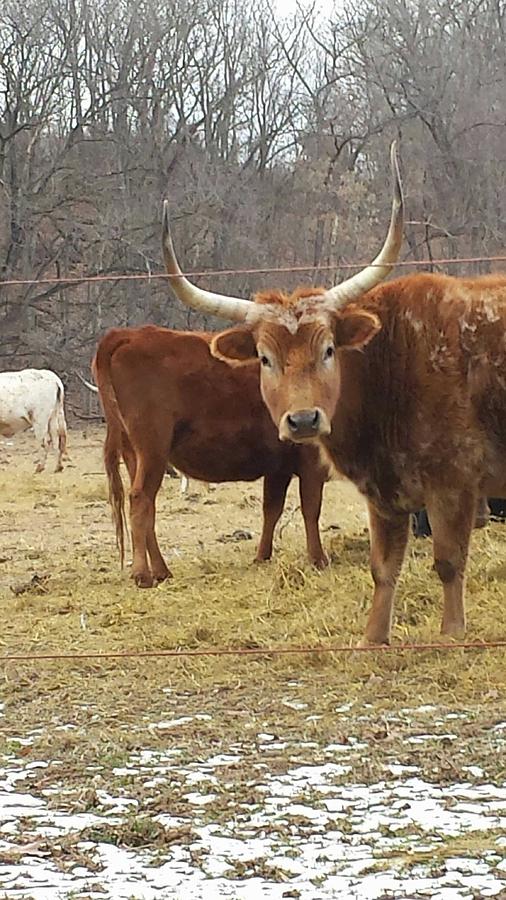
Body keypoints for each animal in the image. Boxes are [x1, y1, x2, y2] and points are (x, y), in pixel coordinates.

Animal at [92, 326, 328, 588]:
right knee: (140, 499)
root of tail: (128, 333)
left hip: (134, 453)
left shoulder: (279, 467)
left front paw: (262, 556)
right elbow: (311, 509)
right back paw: (142, 574)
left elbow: (272, 510)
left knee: (148, 506)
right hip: (152, 450)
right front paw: (318, 559)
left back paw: (162, 570)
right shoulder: (310, 460)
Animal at [162, 144, 506, 644]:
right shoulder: (384, 494)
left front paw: (451, 635)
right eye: (264, 358)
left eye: (328, 349)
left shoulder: (453, 485)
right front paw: (372, 640)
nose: (303, 420)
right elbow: (383, 568)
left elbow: (448, 563)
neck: (393, 356)